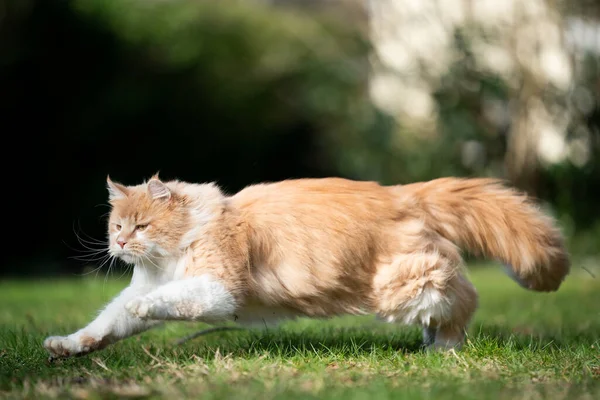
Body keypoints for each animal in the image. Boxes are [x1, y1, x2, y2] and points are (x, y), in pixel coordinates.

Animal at [44, 173, 568, 358]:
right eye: (117, 225)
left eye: (142, 226)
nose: (118, 243)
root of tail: (402, 192)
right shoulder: (138, 290)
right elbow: (107, 323)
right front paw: (69, 346)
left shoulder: (218, 289)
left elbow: (167, 301)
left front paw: (150, 307)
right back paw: (430, 341)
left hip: (402, 284)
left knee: (464, 297)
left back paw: (446, 348)